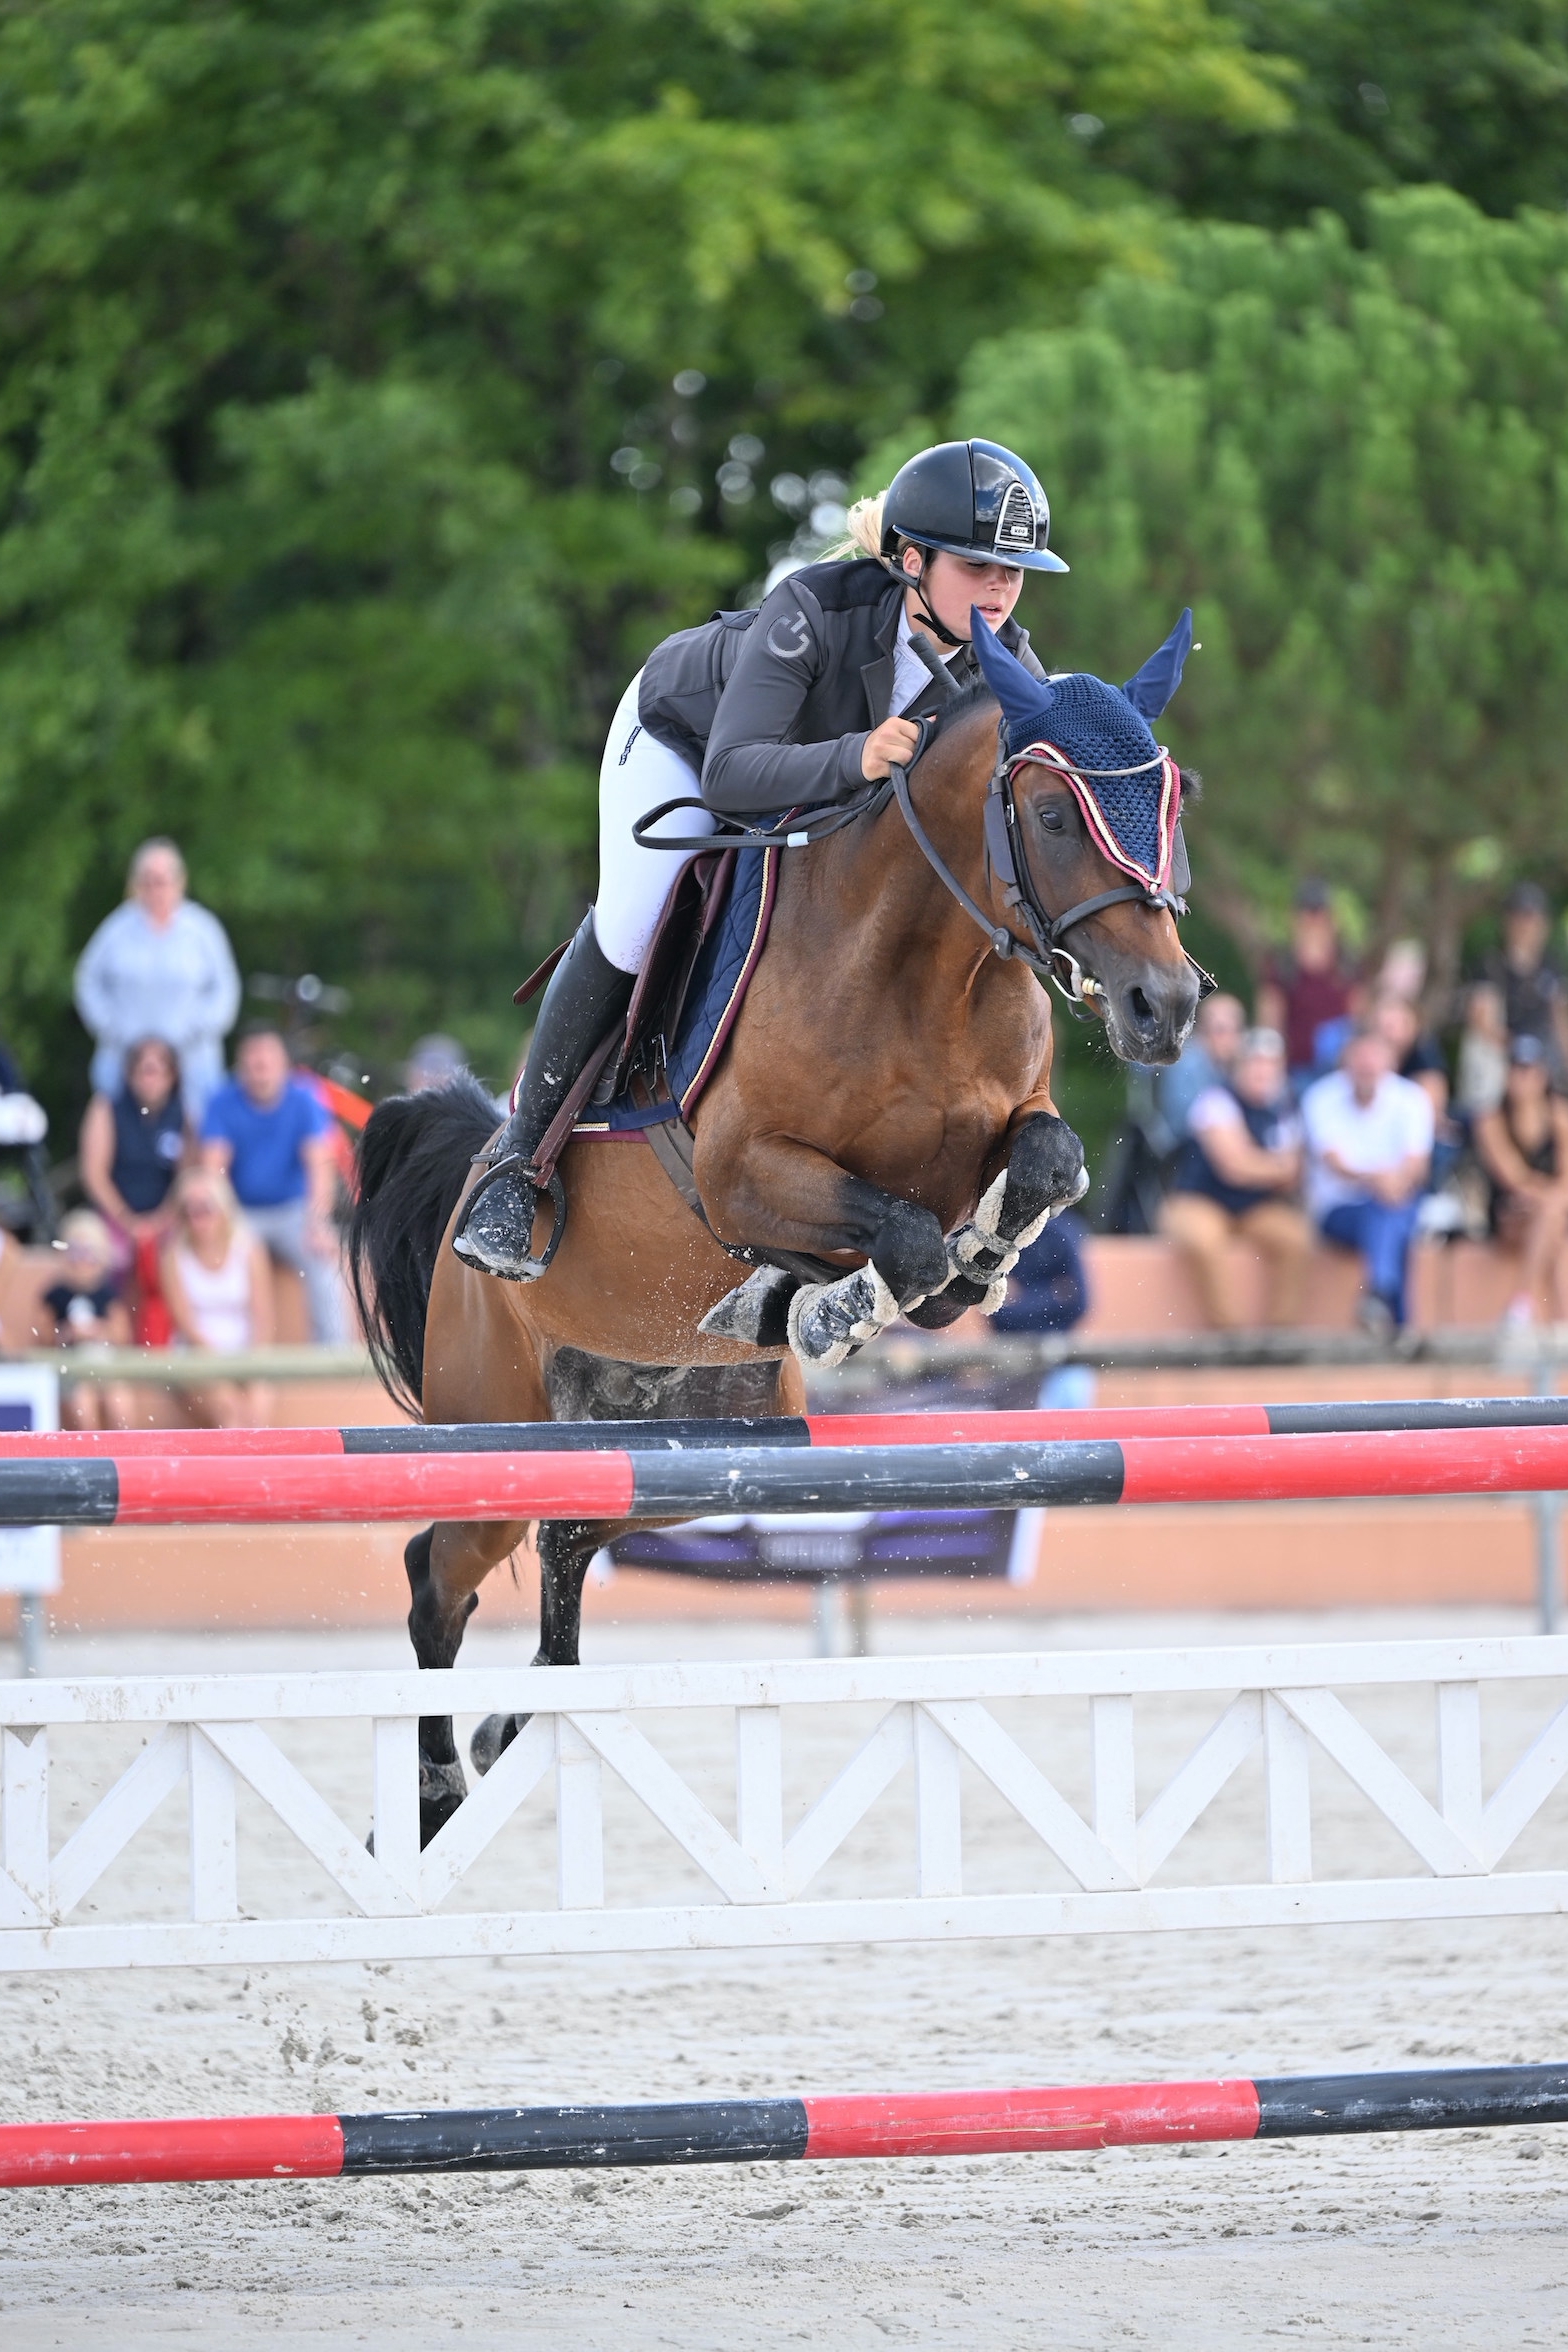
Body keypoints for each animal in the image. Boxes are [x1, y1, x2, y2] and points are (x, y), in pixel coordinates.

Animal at [345, 606, 1203, 1834]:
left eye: (1174, 800)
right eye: (1050, 812)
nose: (1163, 1008)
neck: (926, 968)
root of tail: (467, 1172)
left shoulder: (1010, 1126)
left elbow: (1042, 1165)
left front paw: (955, 1269)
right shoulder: (742, 1175)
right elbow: (898, 1237)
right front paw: (829, 1305)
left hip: (683, 1455)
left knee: (568, 1539)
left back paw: (518, 1725)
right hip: (494, 1432)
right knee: (435, 1576)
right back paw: (429, 1794)